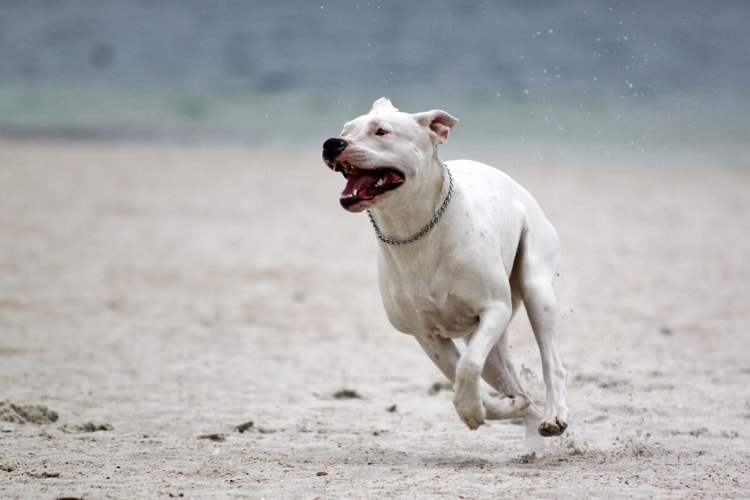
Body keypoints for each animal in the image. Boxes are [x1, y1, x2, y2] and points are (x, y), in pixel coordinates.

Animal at [324, 98, 568, 454]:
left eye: (381, 131)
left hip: (537, 288)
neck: (414, 230)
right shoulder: (425, 334)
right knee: (512, 383)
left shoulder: (494, 308)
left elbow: (467, 366)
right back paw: (526, 422)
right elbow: (460, 374)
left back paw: (554, 417)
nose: (332, 143)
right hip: (493, 349)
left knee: (552, 362)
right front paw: (487, 408)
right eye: (344, 130)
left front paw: (472, 410)